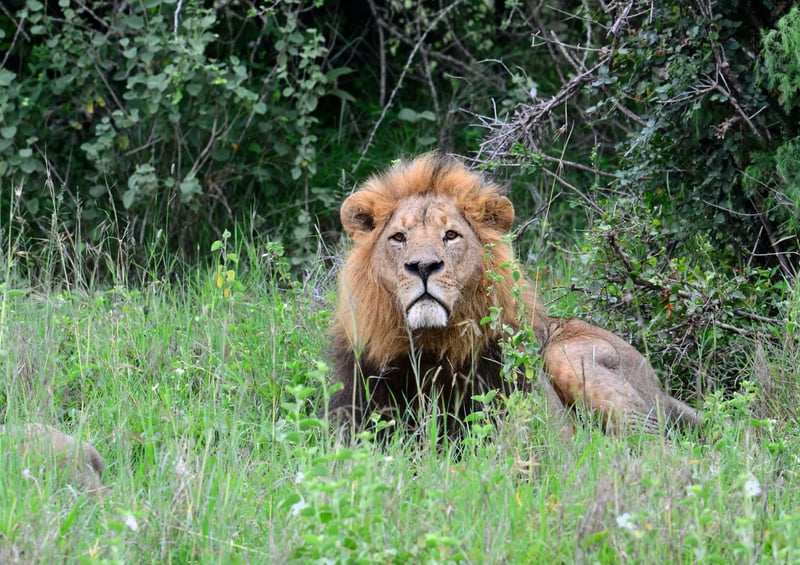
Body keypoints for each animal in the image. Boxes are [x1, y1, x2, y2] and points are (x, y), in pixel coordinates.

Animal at [324, 153, 700, 436]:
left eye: (451, 235)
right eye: (399, 238)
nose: (424, 267)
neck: (431, 348)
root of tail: (660, 388)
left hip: (569, 356)